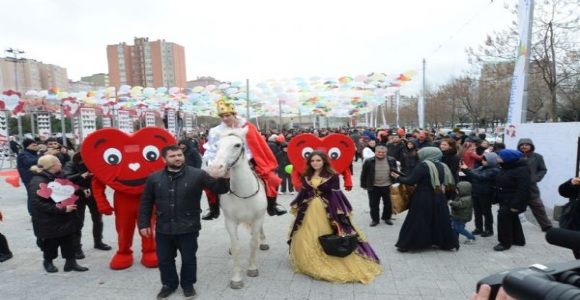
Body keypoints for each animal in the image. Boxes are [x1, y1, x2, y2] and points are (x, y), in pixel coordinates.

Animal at [207, 126, 270, 288]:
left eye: (237, 145)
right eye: (216, 145)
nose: (215, 168)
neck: (243, 193)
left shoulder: (258, 218)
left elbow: (253, 243)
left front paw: (252, 268)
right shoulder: (230, 221)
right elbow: (236, 247)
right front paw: (236, 278)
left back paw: (263, 241)